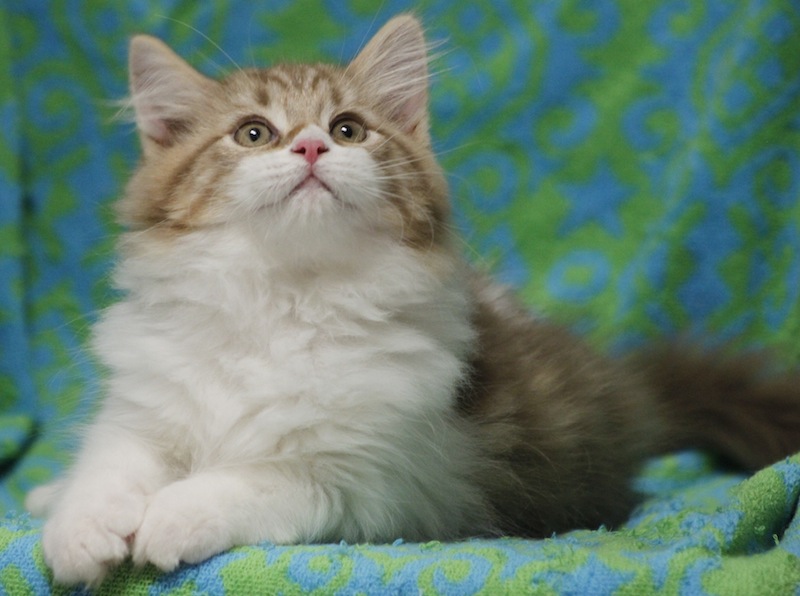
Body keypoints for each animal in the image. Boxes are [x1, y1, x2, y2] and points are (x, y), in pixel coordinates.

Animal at [25, 14, 800, 588]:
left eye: (348, 128)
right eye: (254, 133)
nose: (311, 147)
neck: (284, 297)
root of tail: (633, 394)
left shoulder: (372, 482)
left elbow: (246, 481)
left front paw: (170, 515)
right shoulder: (144, 406)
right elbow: (109, 460)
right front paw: (81, 529)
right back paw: (46, 495)